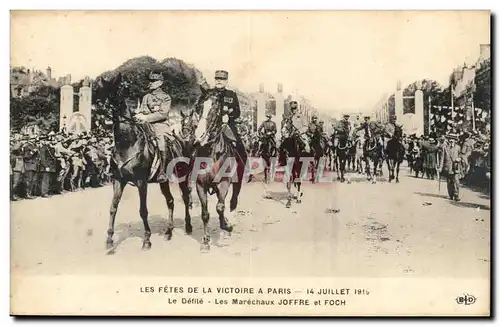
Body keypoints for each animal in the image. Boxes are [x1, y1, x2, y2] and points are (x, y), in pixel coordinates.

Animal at [94, 74, 192, 251]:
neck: (127, 143)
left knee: (186, 198)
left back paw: (188, 226)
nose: (95, 111)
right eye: (99, 91)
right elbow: (113, 208)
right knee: (170, 201)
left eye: (111, 92)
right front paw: (110, 239)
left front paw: (147, 239)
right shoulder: (118, 180)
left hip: (182, 177)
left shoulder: (141, 182)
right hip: (164, 181)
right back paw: (169, 231)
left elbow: (143, 210)